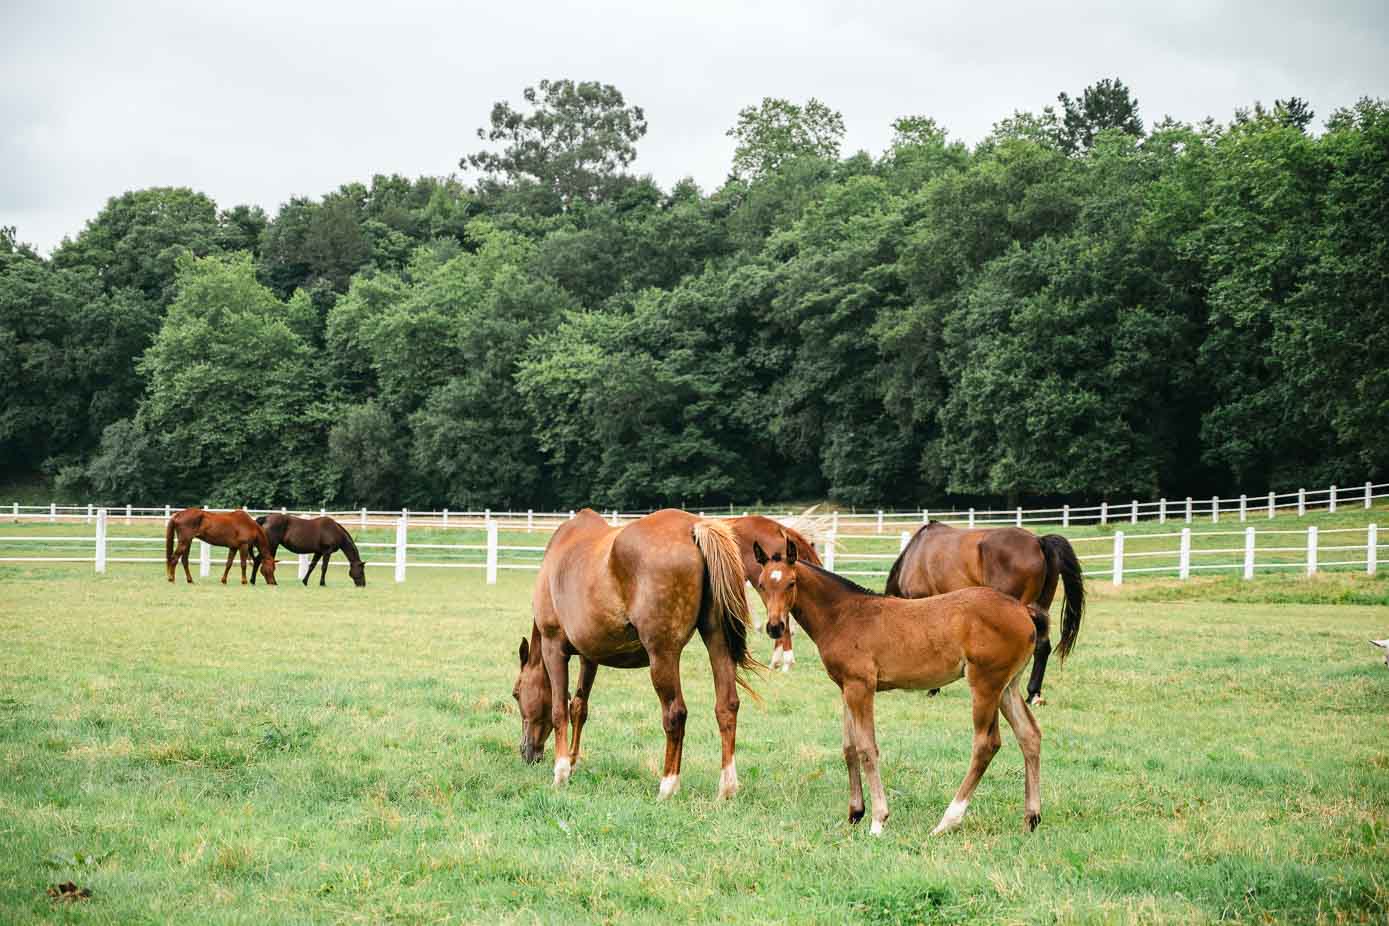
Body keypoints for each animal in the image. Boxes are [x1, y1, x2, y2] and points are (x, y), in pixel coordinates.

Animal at [516, 510, 761, 799]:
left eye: (516, 693)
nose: (526, 752)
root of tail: (693, 527)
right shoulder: (590, 656)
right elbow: (578, 707)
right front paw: (573, 762)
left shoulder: (553, 648)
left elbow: (558, 711)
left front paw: (562, 772)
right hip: (717, 642)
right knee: (726, 707)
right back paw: (726, 787)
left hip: (662, 656)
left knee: (675, 714)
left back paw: (668, 785)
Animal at [761, 538, 1044, 838]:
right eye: (761, 583)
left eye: (791, 582)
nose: (774, 627)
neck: (843, 615)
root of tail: (1023, 610)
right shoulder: (846, 687)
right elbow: (849, 747)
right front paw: (855, 813)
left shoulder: (861, 687)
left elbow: (866, 748)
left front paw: (878, 820)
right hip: (1008, 687)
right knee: (1029, 735)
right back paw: (1032, 817)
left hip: (986, 684)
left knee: (986, 744)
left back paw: (948, 821)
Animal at [888, 522, 1083, 710]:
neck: (916, 554)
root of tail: (1038, 541)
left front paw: (933, 689)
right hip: (1040, 608)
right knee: (1042, 647)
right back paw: (1033, 695)